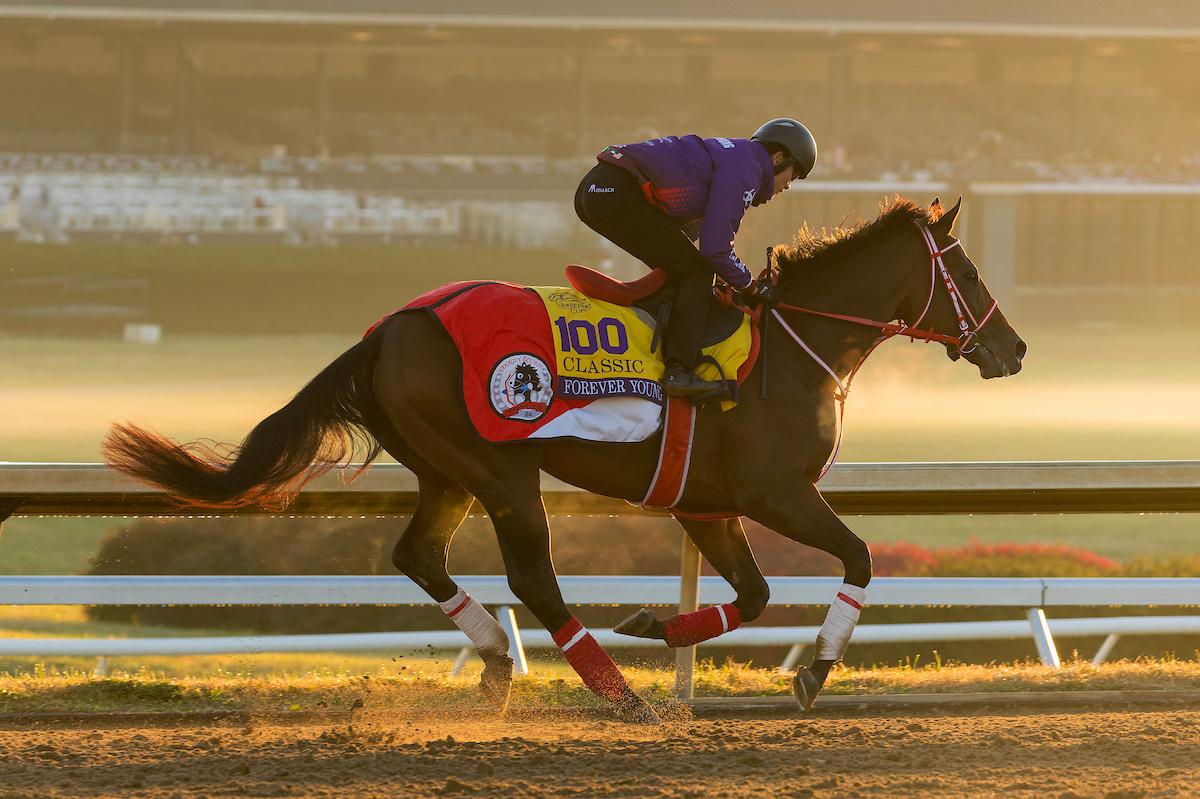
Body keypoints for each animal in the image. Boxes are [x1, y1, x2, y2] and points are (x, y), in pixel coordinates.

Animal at [103, 196, 1025, 723]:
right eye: (971, 270)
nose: (1013, 348)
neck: (796, 342)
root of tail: (389, 329)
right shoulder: (776, 491)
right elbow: (860, 557)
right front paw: (816, 671)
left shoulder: (707, 502)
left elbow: (758, 594)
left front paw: (658, 623)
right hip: (501, 469)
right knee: (533, 579)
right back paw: (615, 692)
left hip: (446, 469)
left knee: (419, 555)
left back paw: (498, 664)